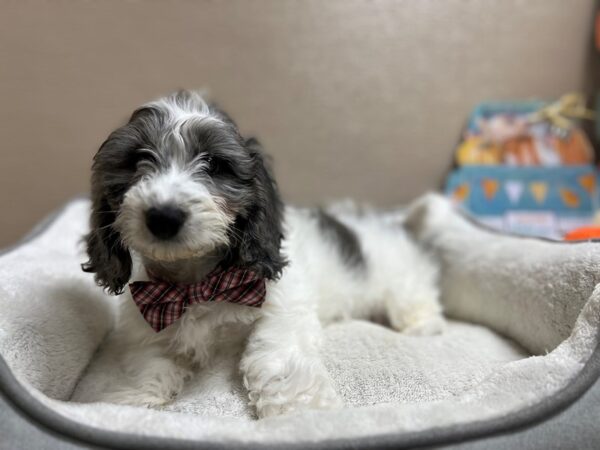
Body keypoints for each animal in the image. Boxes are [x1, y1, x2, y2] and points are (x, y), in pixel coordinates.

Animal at [82, 91, 442, 418]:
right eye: (136, 159)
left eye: (214, 164)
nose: (164, 216)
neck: (197, 284)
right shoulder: (149, 325)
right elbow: (151, 364)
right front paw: (129, 400)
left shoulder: (282, 307)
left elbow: (273, 357)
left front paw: (301, 410)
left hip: (401, 281)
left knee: (415, 301)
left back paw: (425, 327)